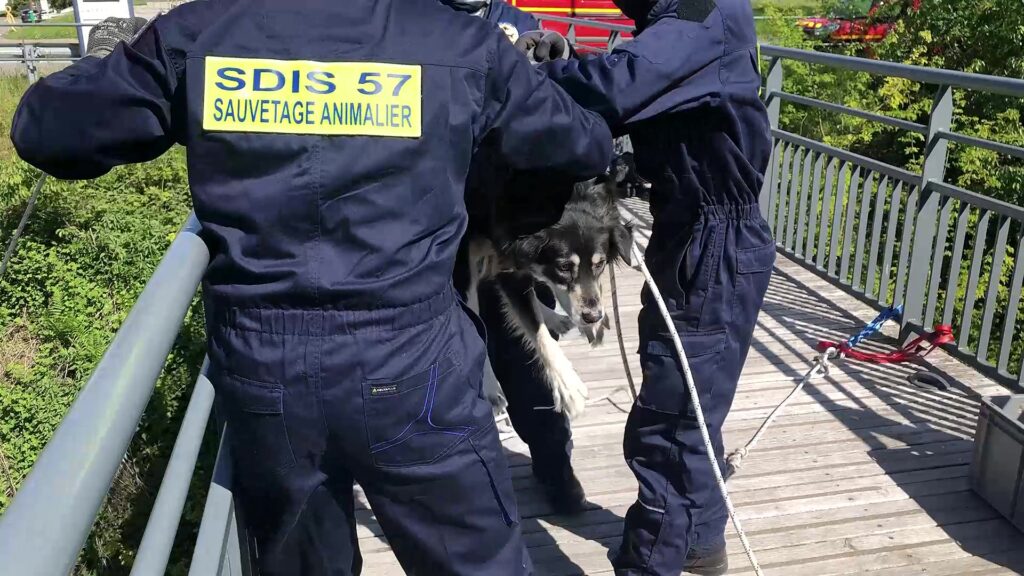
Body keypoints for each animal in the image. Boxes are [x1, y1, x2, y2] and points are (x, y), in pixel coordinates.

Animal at [462, 169, 630, 416]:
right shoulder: (507, 264)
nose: (593, 317)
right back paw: (491, 388)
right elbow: (537, 330)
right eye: (564, 267)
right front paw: (567, 385)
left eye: (600, 264)